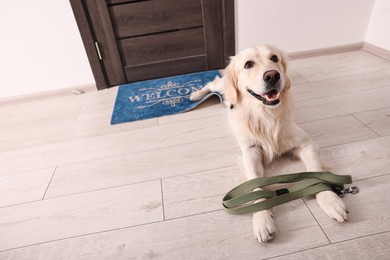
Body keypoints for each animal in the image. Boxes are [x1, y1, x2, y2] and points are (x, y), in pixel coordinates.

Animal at [190, 45, 348, 244]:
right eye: (248, 64)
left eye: (274, 58)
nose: (272, 76)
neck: (265, 115)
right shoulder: (250, 152)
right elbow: (255, 184)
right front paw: (262, 219)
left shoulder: (306, 143)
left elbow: (316, 172)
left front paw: (331, 200)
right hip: (222, 87)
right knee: (213, 83)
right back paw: (195, 94)